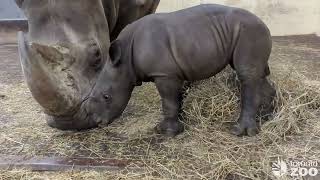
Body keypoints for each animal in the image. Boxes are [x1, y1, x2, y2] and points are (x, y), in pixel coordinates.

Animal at [86, 4, 276, 136]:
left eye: (106, 96)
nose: (98, 122)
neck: (124, 61)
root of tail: (265, 24)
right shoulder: (173, 72)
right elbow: (176, 99)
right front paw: (178, 123)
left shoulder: (164, 74)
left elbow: (168, 102)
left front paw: (167, 132)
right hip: (246, 32)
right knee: (258, 75)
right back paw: (266, 117)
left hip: (249, 32)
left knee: (247, 75)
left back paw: (240, 132)